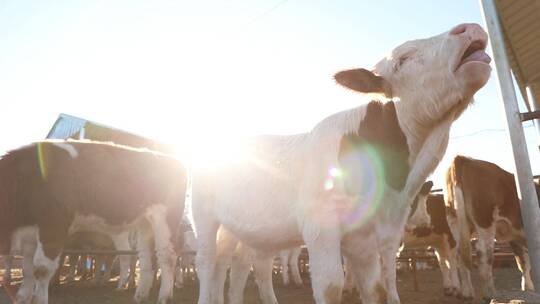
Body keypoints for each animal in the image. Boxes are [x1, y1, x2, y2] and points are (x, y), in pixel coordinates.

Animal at [0, 140, 187, 304]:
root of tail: (174, 160)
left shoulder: (53, 226)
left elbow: (41, 269)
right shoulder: (29, 233)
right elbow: (27, 270)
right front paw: (22, 298)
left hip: (166, 219)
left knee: (167, 255)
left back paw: (164, 297)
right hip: (144, 223)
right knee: (147, 257)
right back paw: (140, 296)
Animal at [192, 22, 492, 304]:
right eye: (403, 58)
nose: (469, 27)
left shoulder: (370, 238)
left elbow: (375, 289)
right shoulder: (320, 226)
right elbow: (331, 287)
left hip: (245, 230)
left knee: (241, 265)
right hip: (204, 215)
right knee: (207, 263)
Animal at [442, 156, 536, 300]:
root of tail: (462, 158)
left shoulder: (515, 238)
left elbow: (523, 263)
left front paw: (528, 288)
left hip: (456, 222)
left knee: (459, 254)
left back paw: (467, 293)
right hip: (485, 221)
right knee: (484, 254)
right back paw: (490, 293)